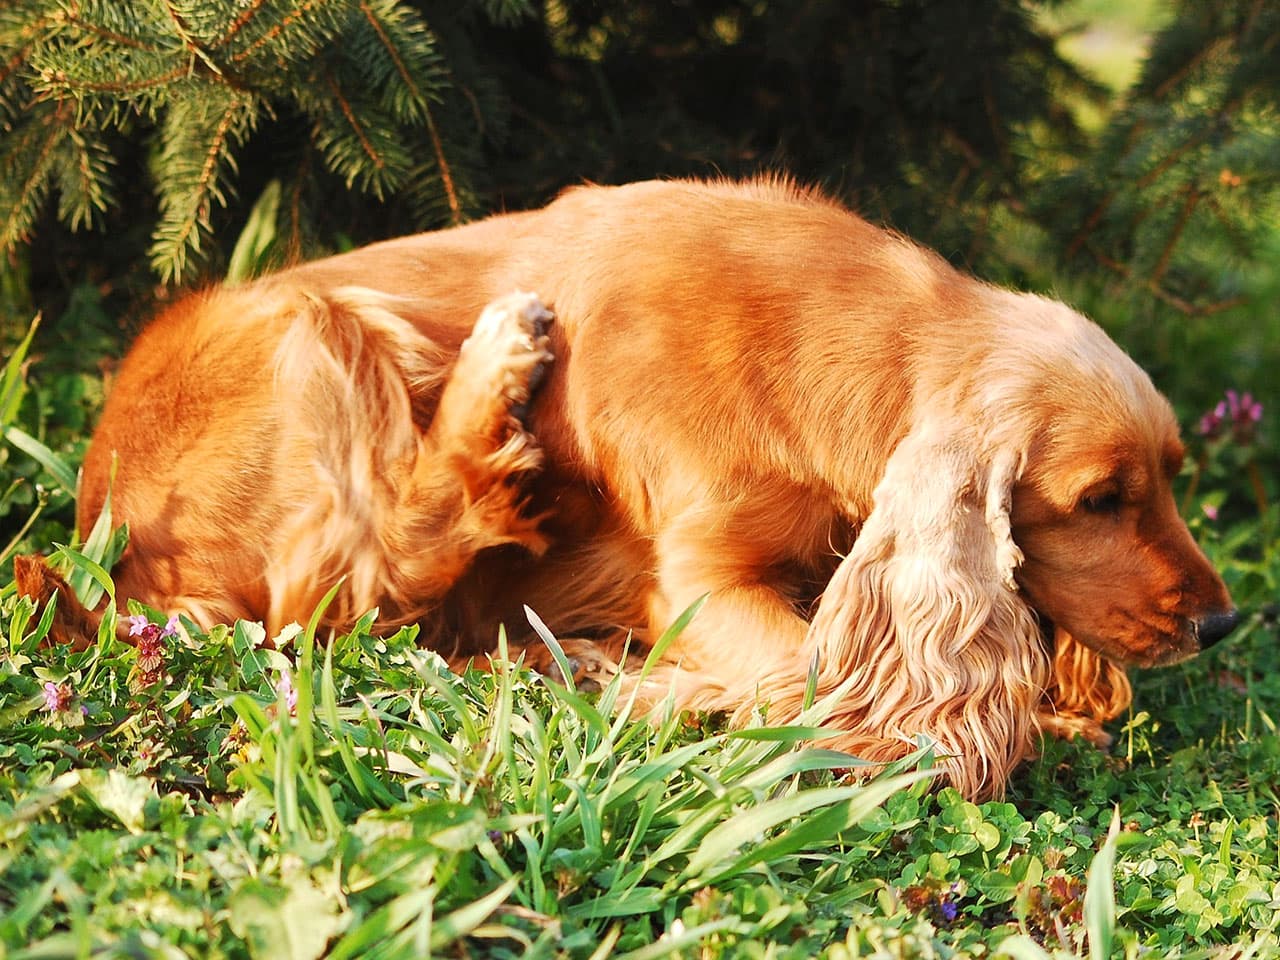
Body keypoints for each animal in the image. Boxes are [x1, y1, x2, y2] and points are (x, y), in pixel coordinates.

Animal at [17, 176, 1239, 798]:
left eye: (1171, 481)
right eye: (1098, 499)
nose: (1223, 623)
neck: (848, 344)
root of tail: (107, 536)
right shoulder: (698, 578)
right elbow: (811, 680)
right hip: (315, 323)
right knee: (359, 582)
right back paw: (500, 368)